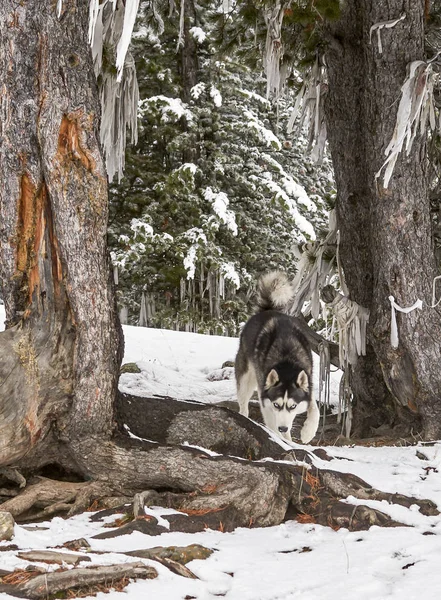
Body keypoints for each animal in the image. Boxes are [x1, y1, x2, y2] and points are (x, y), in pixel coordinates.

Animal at [235, 270, 318, 440]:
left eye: (293, 406)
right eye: (276, 404)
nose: (283, 428)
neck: (287, 360)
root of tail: (266, 310)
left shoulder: (308, 385)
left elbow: (315, 409)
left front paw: (307, 433)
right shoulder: (265, 398)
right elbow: (271, 420)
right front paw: (282, 438)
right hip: (246, 378)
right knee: (243, 403)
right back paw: (244, 417)